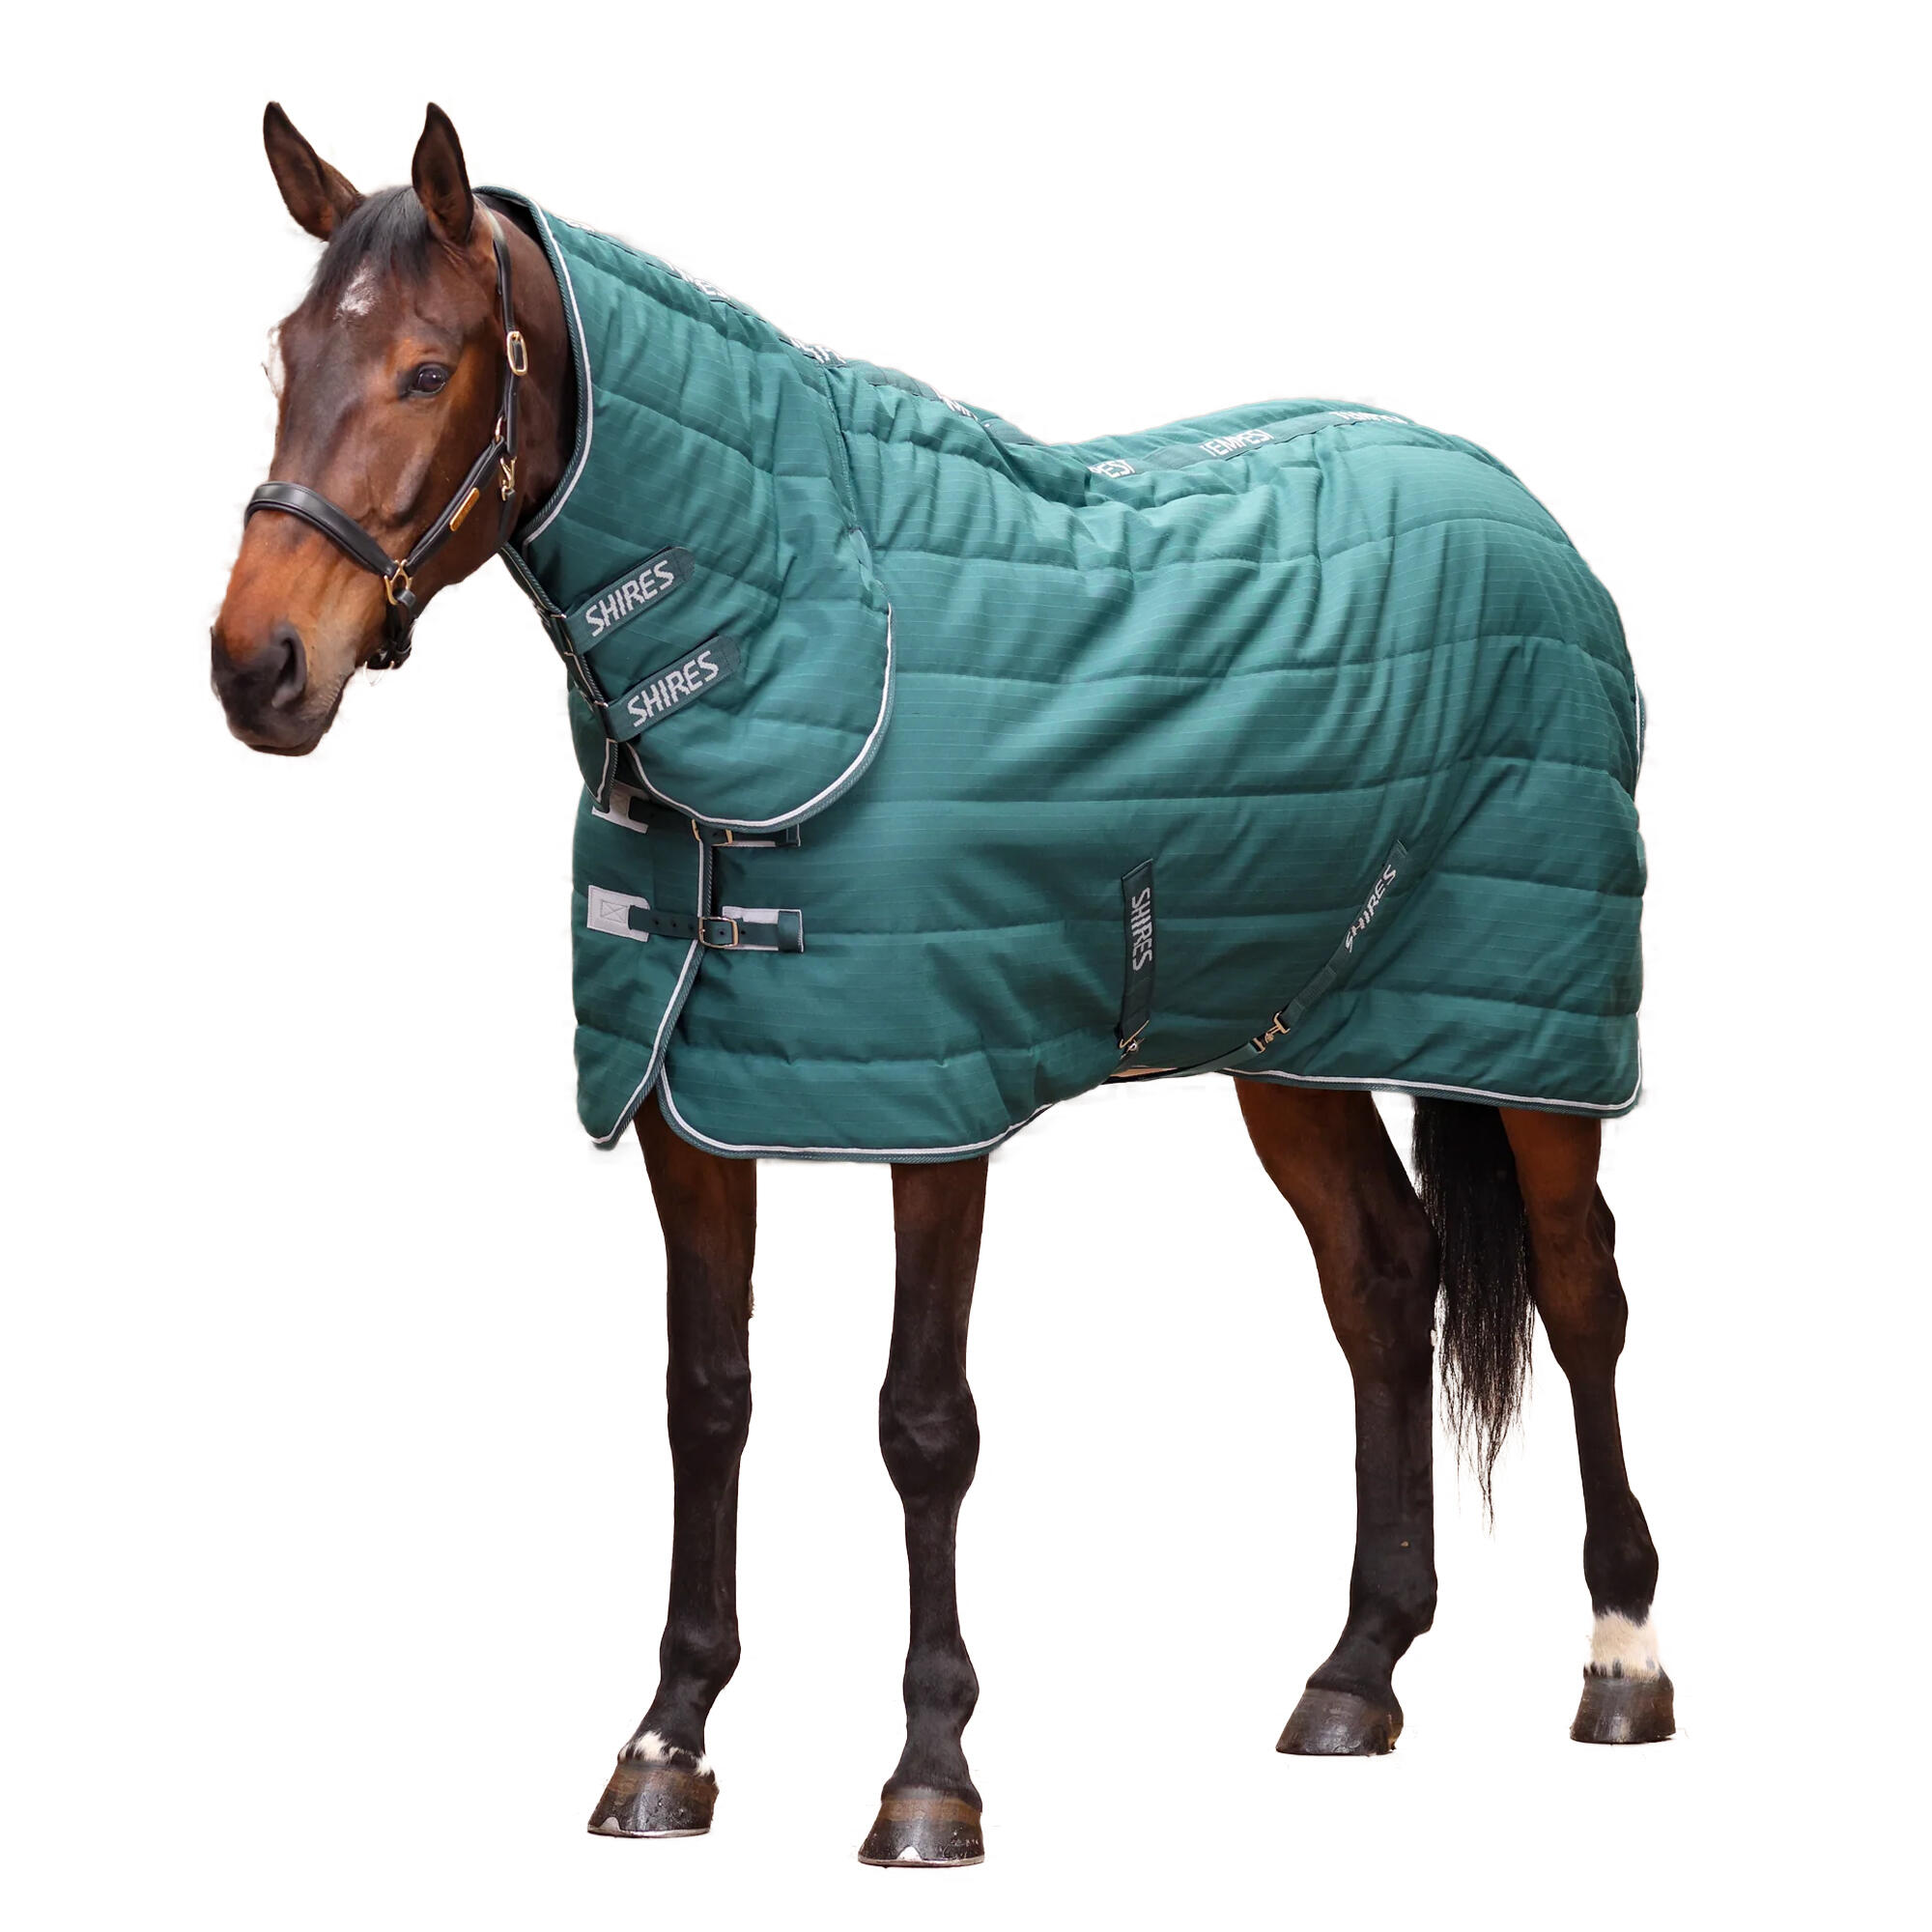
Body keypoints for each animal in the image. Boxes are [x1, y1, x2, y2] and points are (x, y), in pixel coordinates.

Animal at [211, 102, 1670, 1867]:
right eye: (285, 356)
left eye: (428, 370)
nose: (258, 667)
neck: (804, 631)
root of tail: (1527, 514)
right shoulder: (689, 1108)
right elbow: (708, 1399)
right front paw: (667, 1745)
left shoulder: (934, 1102)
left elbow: (924, 1424)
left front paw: (929, 1775)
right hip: (1292, 1035)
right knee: (1384, 1283)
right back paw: (1355, 1676)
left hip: (1537, 1037)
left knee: (1581, 1290)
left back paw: (1622, 1662)